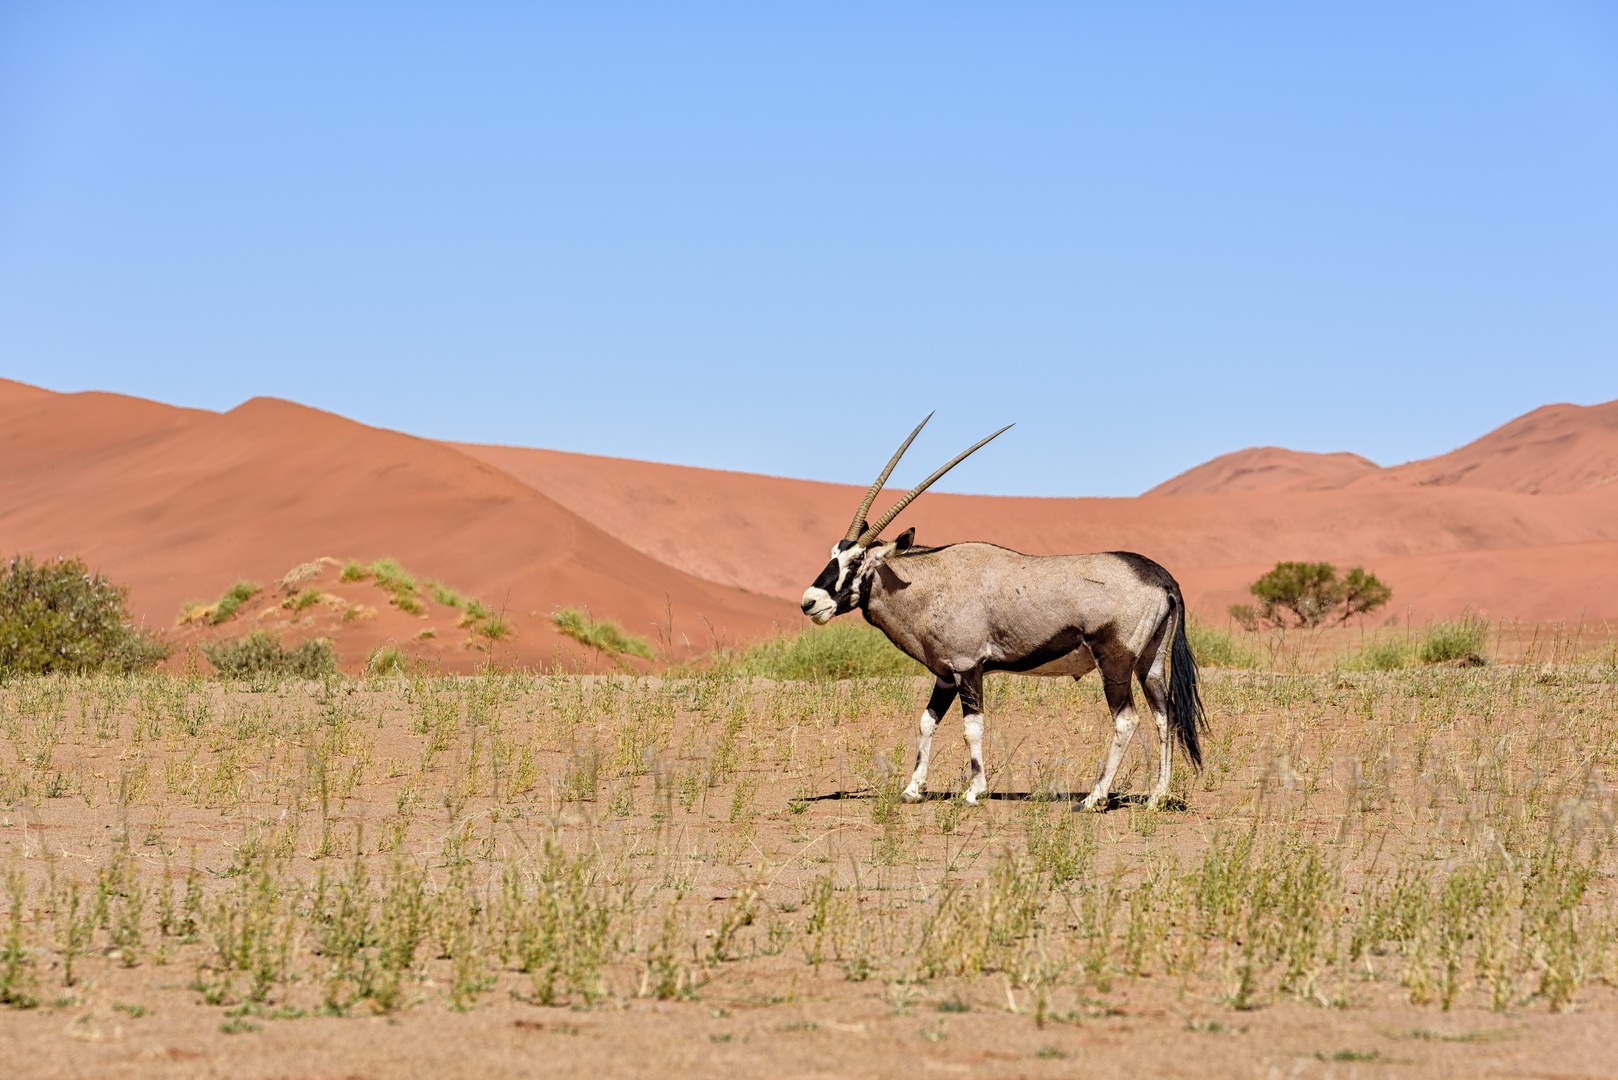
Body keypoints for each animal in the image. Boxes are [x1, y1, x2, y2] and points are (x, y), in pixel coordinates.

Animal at [802, 417, 1210, 806]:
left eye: (856, 561)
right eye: (833, 554)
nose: (810, 602)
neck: (928, 583)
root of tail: (1162, 578)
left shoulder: (968, 668)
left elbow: (972, 728)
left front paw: (974, 792)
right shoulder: (945, 676)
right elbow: (926, 722)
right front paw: (912, 789)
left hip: (1116, 662)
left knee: (1126, 720)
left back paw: (1095, 797)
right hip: (1151, 662)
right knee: (1165, 715)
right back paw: (1157, 797)